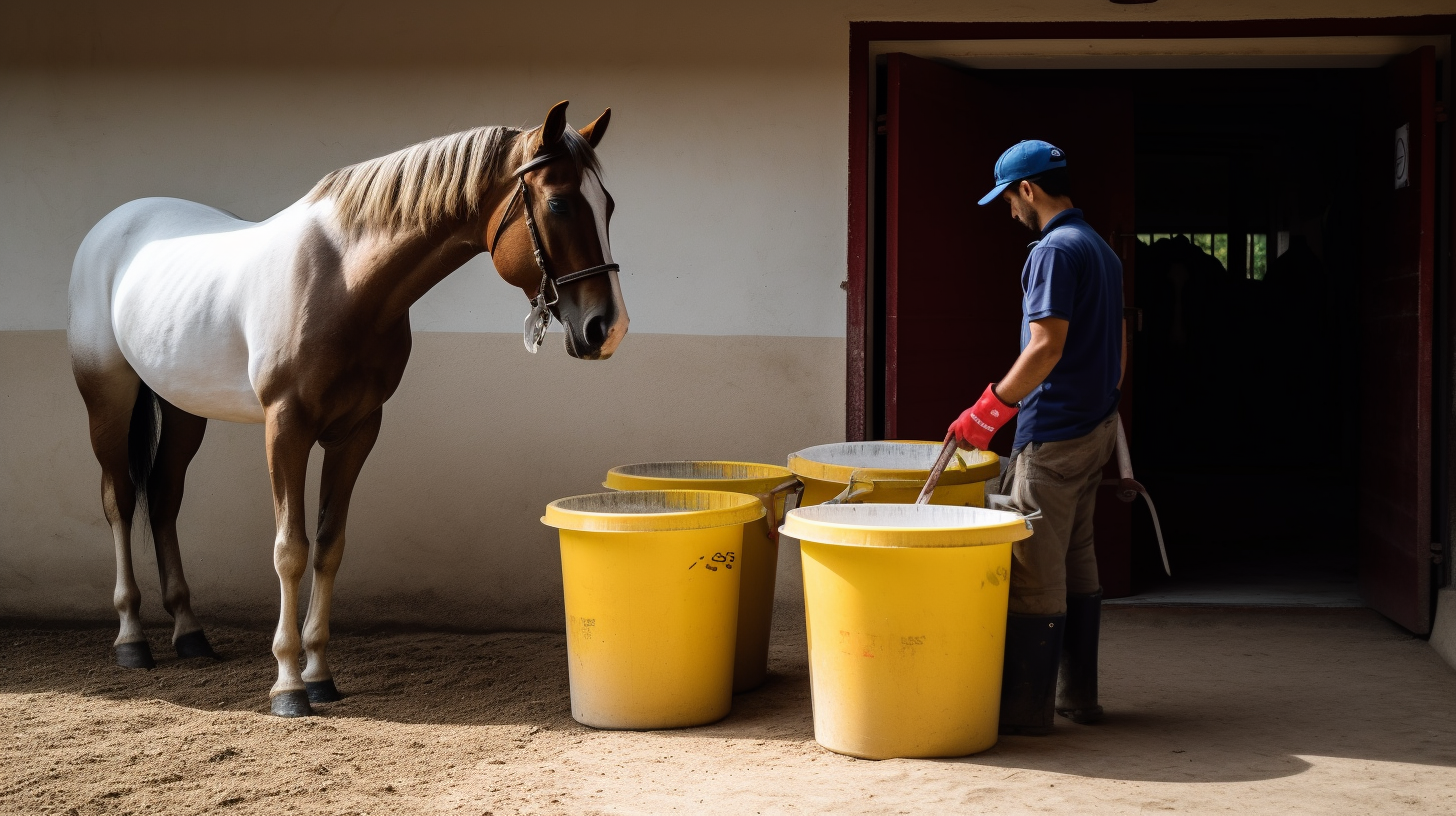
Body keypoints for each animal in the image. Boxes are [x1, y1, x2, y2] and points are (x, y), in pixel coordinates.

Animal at [66, 100, 626, 714]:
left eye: (608, 205)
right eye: (558, 203)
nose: (607, 328)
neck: (342, 281)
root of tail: (113, 227)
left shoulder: (357, 431)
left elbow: (329, 547)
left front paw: (318, 676)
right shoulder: (285, 428)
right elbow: (290, 549)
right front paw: (288, 685)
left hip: (185, 407)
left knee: (165, 499)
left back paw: (190, 634)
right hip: (106, 398)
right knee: (119, 500)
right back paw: (131, 640)